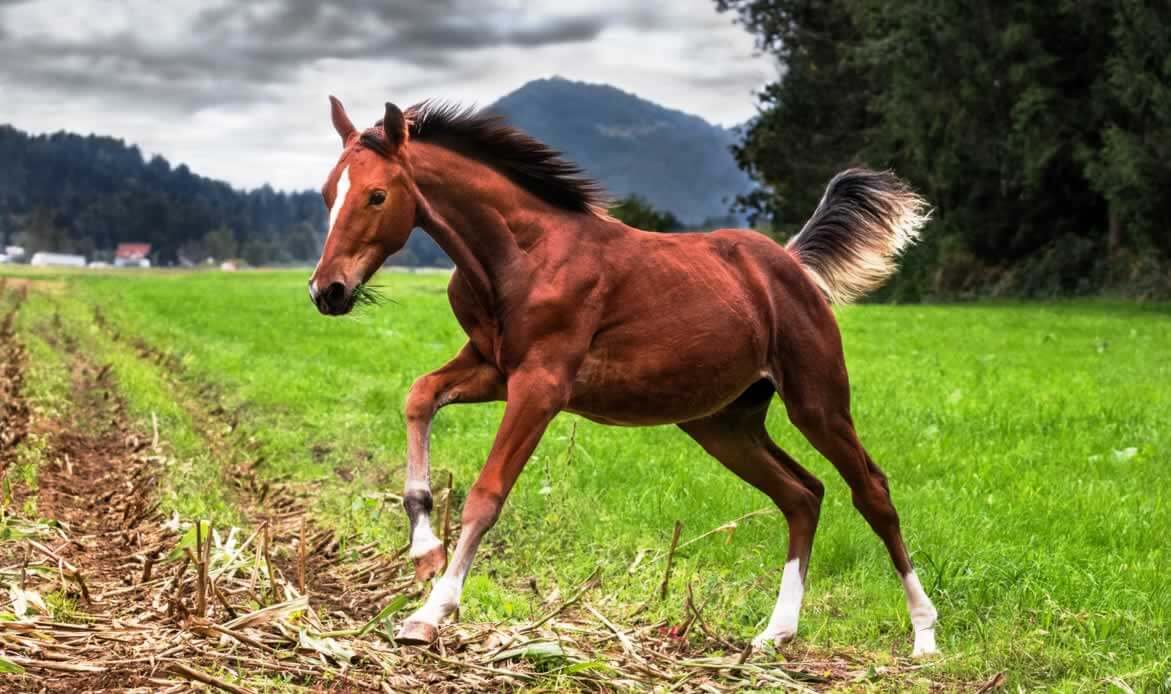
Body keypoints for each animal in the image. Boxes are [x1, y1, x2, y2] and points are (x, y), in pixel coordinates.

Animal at [311, 97, 941, 655]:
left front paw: (431, 612)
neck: (520, 257)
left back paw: (924, 634)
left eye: (376, 195)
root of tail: (792, 263)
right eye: (327, 194)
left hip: (816, 401)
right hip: (723, 424)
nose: (327, 291)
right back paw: (776, 633)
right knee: (803, 495)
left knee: (871, 491)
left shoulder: (541, 385)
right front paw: (424, 550)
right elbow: (418, 396)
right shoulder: (492, 369)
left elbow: (487, 495)